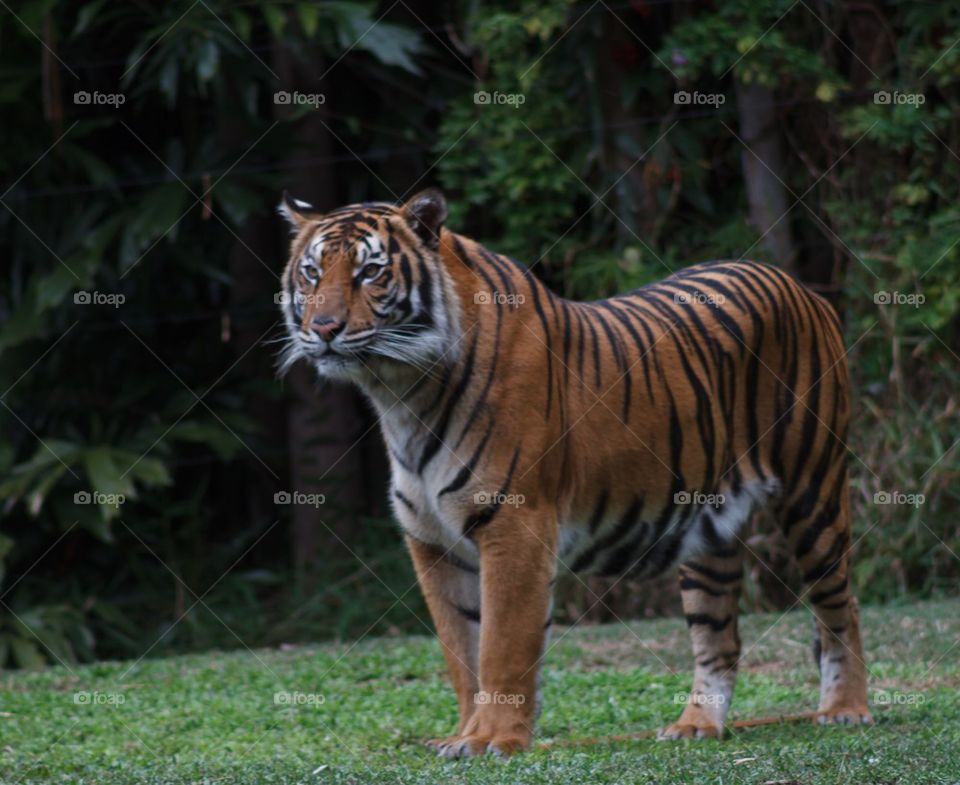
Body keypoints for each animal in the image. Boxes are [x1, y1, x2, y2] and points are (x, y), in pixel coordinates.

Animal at [277, 188, 872, 758]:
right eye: (311, 273)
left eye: (370, 272)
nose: (323, 329)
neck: (401, 393)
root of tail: (802, 287)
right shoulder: (432, 542)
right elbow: (461, 654)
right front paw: (464, 733)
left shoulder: (514, 525)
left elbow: (501, 645)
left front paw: (492, 741)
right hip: (710, 533)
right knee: (718, 638)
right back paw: (697, 726)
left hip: (814, 492)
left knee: (840, 606)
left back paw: (845, 709)